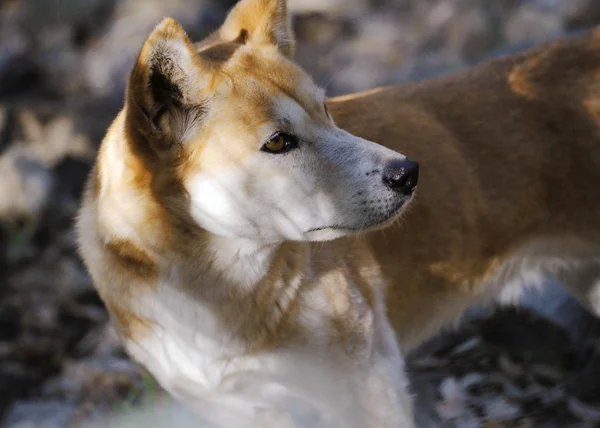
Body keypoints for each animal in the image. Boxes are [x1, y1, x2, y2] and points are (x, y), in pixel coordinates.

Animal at [77, 0, 600, 424]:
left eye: (326, 111)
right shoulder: (242, 411)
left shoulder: (369, 384)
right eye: (278, 141)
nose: (408, 172)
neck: (218, 295)